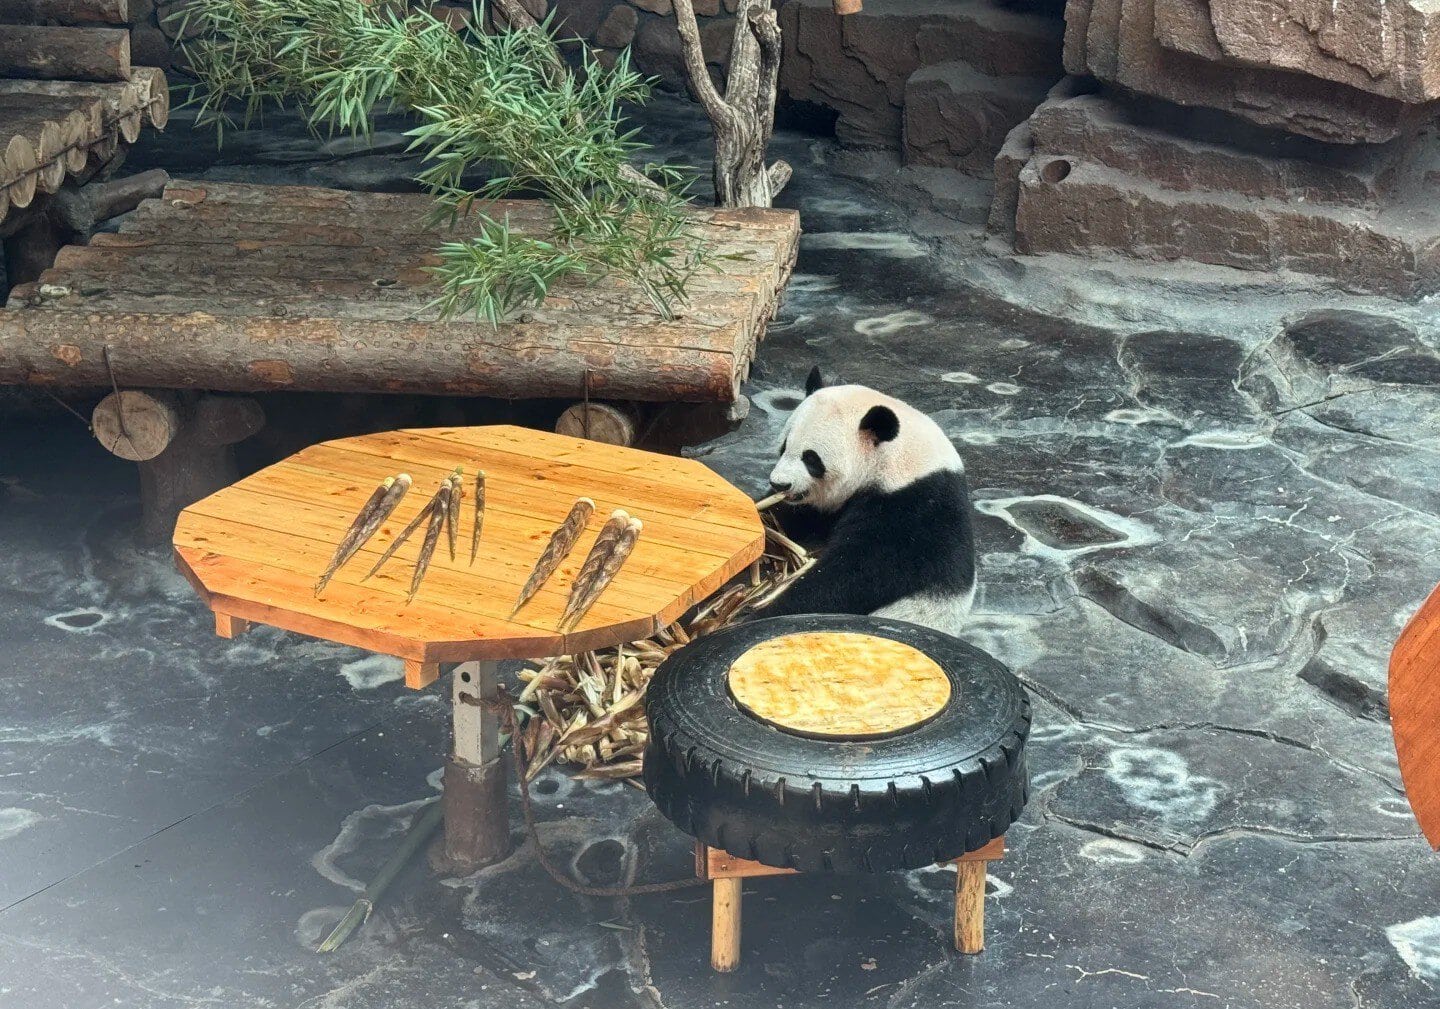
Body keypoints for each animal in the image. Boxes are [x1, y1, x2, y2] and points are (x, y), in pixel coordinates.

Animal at [752, 367, 976, 636]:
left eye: (811, 459)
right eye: (784, 446)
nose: (779, 484)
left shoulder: (912, 511)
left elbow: (858, 574)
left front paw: (766, 611)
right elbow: (790, 516)